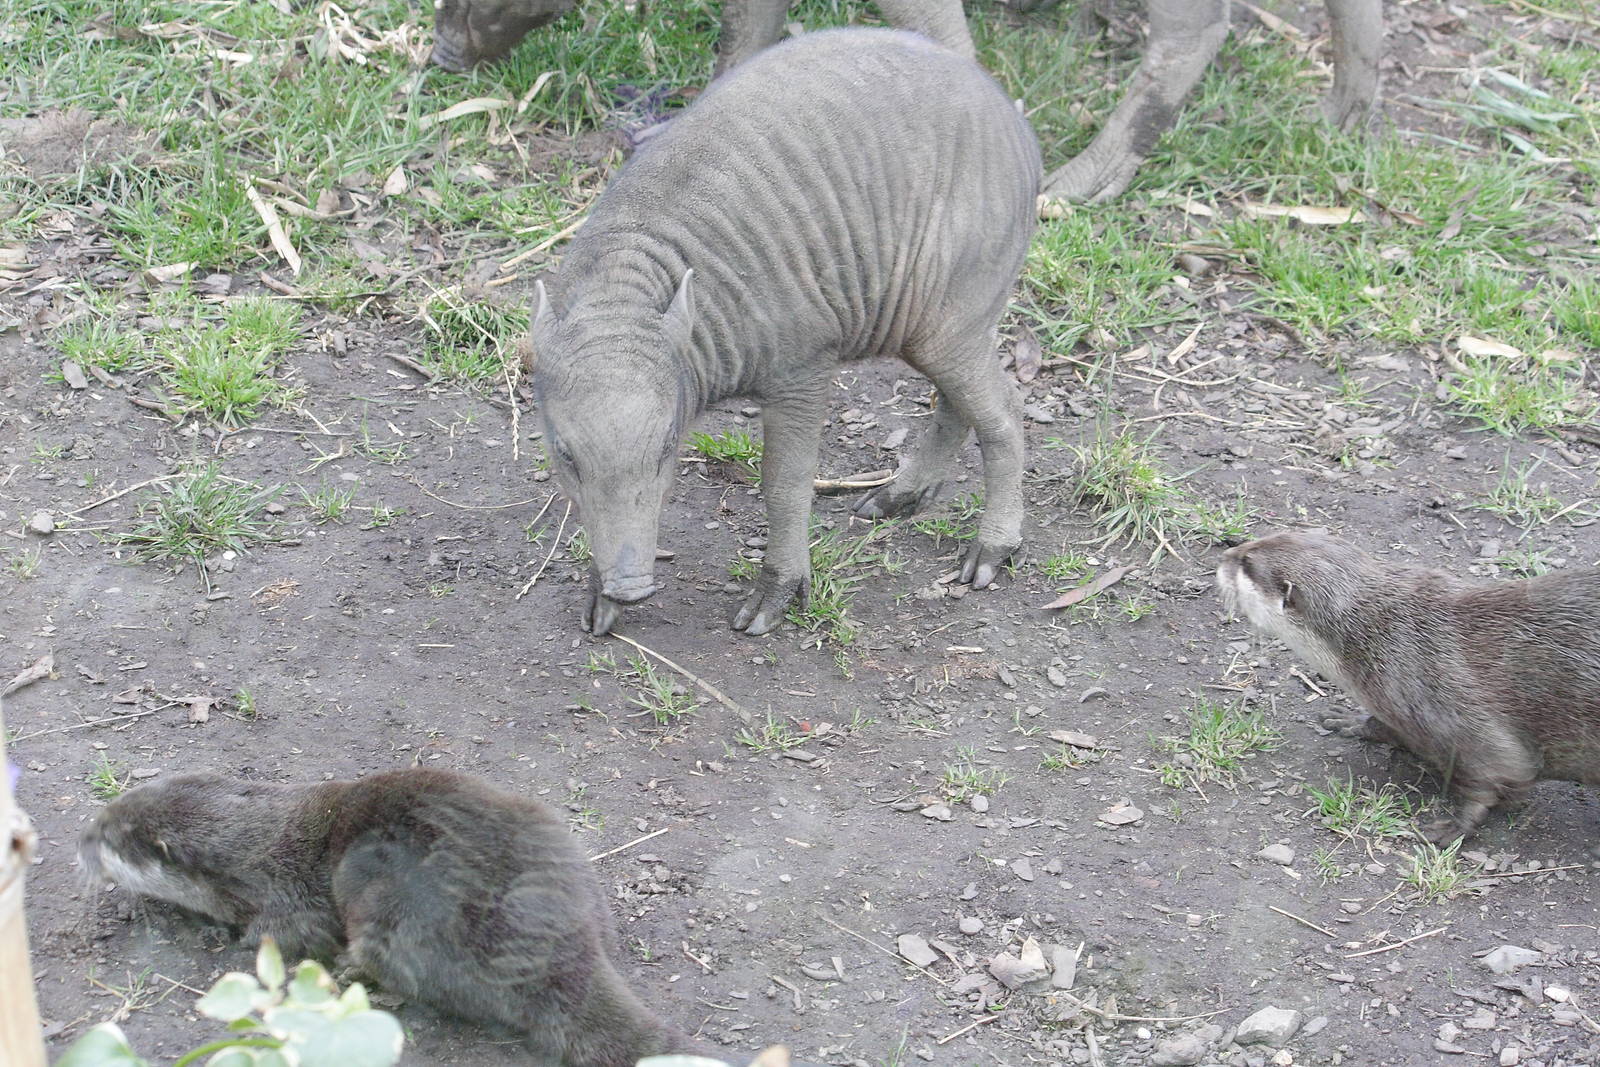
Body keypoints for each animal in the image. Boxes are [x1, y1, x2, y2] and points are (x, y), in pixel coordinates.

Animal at [80, 769, 811, 1066]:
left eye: (110, 837)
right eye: (110, 810)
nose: (79, 836)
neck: (253, 845)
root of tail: (563, 950)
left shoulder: (287, 897)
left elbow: (282, 937)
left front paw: (232, 941)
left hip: (394, 912)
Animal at [1216, 530, 1600, 844]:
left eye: (1246, 563)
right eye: (1254, 541)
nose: (1224, 555)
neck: (1382, 637)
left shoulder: (1445, 700)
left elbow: (1500, 769)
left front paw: (1456, 825)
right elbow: (1389, 727)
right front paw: (1352, 721)